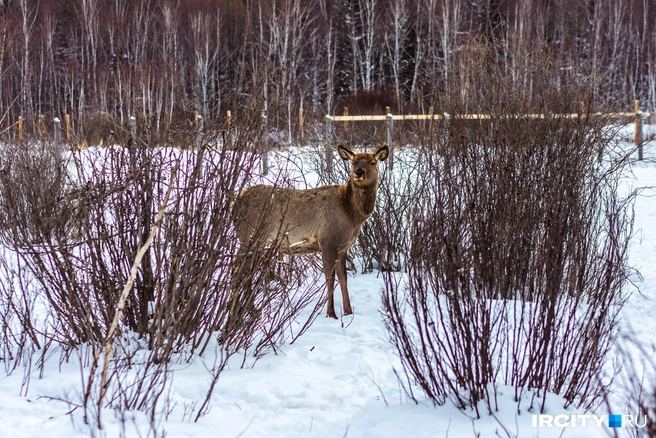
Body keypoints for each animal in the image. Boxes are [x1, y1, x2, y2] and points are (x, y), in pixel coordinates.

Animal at [233, 144, 390, 318]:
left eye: (372, 162)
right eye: (353, 162)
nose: (358, 172)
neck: (352, 215)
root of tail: (235, 201)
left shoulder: (343, 247)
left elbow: (343, 278)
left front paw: (348, 312)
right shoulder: (328, 240)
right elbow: (330, 278)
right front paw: (331, 314)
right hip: (249, 235)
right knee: (238, 269)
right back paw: (244, 310)